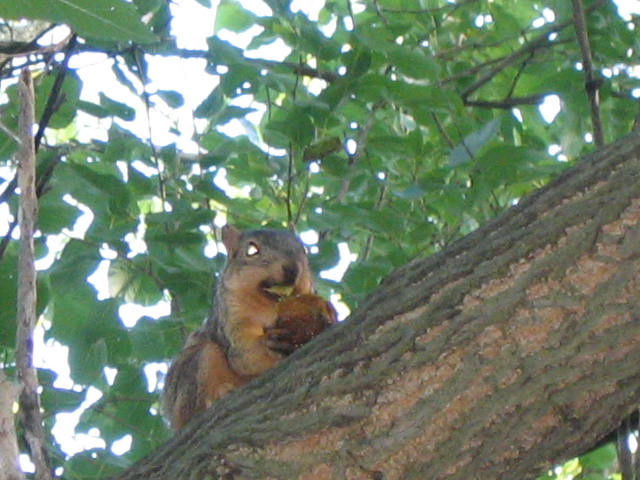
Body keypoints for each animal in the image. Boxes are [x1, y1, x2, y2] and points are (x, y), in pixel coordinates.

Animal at [162, 225, 337, 430]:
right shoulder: (233, 317)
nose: (293, 268)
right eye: (252, 250)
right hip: (194, 370)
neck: (270, 305)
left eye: (303, 250)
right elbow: (244, 354)